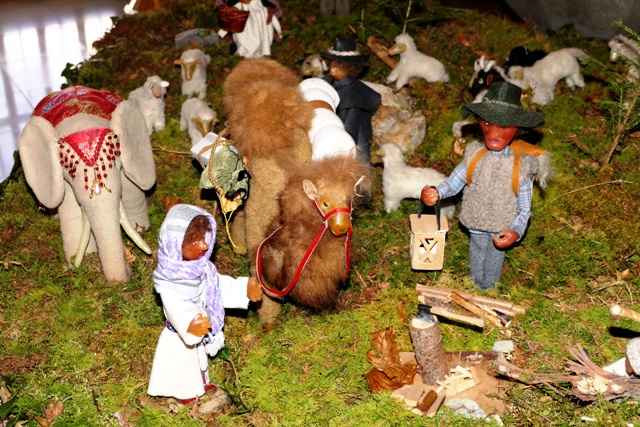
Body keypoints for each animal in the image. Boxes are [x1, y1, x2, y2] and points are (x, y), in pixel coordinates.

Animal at [19, 85, 155, 282]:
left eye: (115, 164)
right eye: (72, 172)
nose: (129, 271)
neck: (83, 124)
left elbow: (132, 189)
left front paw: (142, 229)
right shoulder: (63, 180)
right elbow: (71, 213)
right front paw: (81, 263)